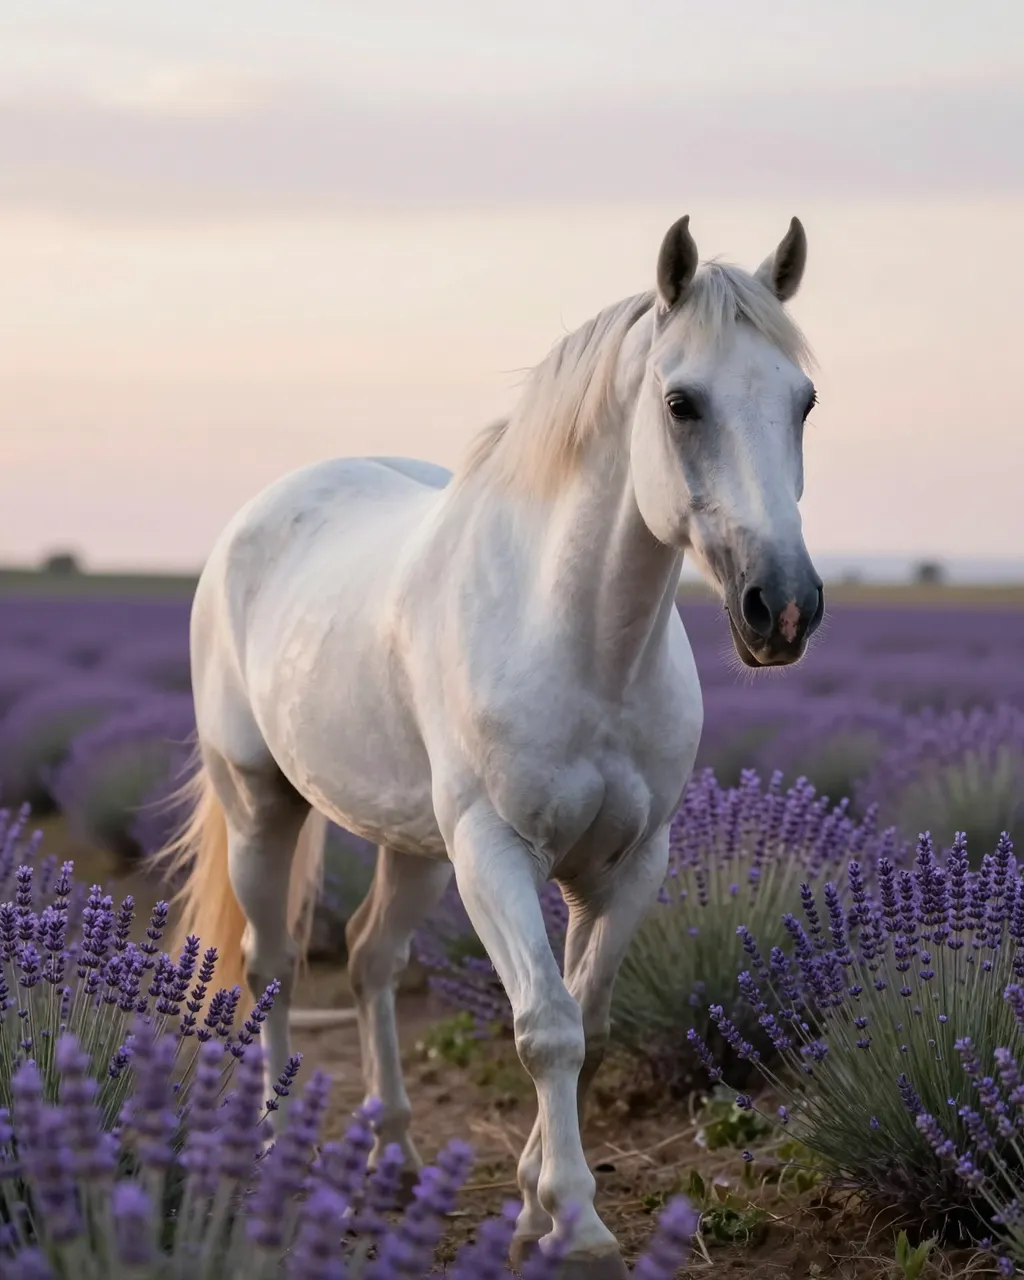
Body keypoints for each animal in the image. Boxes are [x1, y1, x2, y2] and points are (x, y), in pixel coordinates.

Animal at [167, 213, 823, 1278]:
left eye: (803, 401)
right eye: (681, 403)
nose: (786, 608)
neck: (582, 642)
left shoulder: (627, 865)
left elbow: (588, 1020)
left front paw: (528, 1205)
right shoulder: (495, 853)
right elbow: (546, 1027)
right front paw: (576, 1223)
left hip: (412, 846)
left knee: (369, 960)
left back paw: (392, 1155)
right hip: (263, 808)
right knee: (269, 968)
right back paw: (263, 1149)